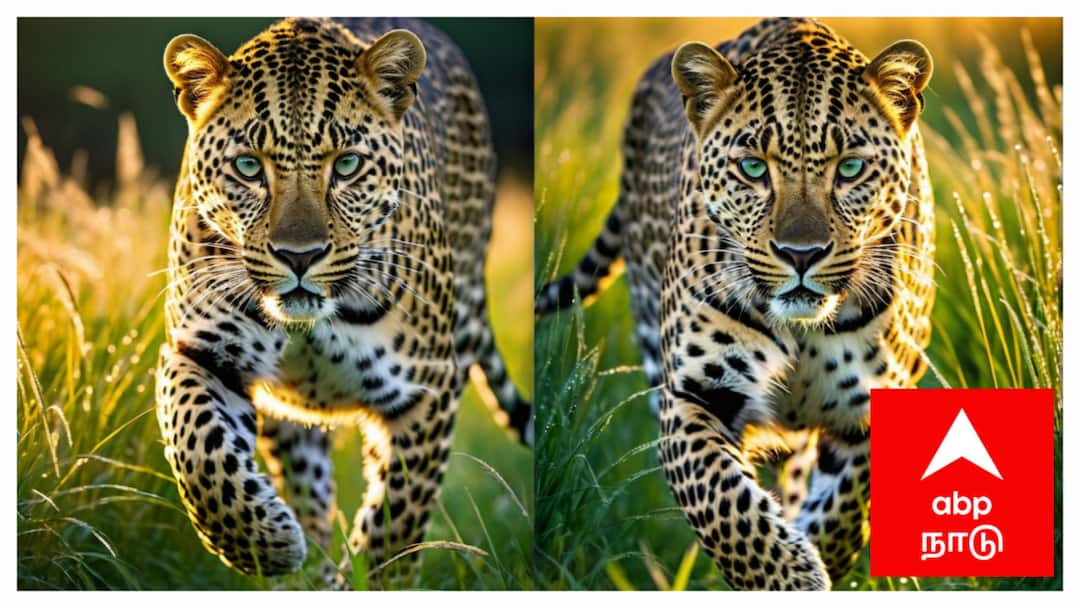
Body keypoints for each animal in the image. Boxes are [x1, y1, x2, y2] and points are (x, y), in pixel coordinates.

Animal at [156, 17, 531, 586]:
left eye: (348, 165)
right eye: (248, 167)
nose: (300, 256)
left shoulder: (427, 387)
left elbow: (395, 521)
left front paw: (372, 578)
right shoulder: (201, 352)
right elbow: (198, 450)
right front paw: (267, 543)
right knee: (304, 483)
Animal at [536, 18, 935, 589]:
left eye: (850, 169)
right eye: (752, 168)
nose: (801, 254)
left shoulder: (875, 404)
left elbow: (846, 508)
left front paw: (816, 552)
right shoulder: (692, 396)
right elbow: (730, 509)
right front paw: (793, 577)